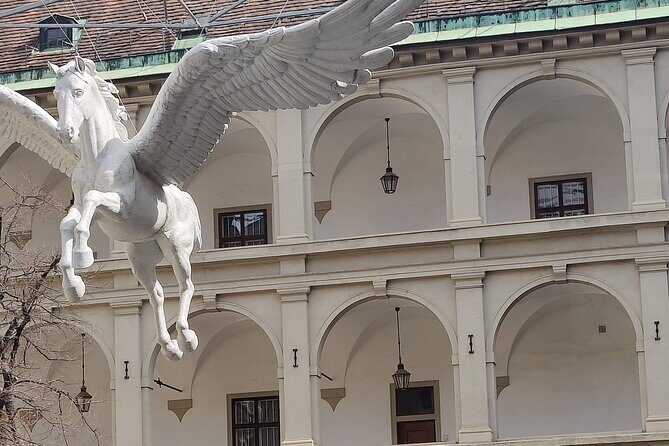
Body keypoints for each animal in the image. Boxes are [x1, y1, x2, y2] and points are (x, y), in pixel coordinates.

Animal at [52, 58, 200, 361]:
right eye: (55, 94)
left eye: (78, 92)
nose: (64, 132)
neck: (97, 158)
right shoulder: (82, 206)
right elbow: (67, 223)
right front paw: (73, 286)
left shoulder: (121, 205)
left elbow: (93, 199)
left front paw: (83, 254)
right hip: (140, 257)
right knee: (156, 294)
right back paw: (169, 346)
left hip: (177, 247)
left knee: (186, 285)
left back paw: (186, 337)